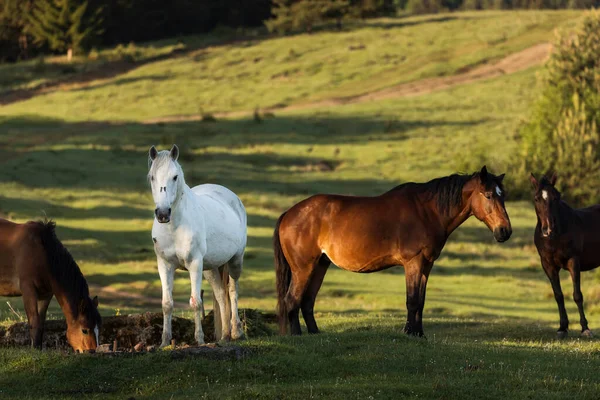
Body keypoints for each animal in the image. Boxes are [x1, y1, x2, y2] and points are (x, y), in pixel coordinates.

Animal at [0, 217, 101, 352]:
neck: (42, 254)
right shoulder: (28, 290)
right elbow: (34, 321)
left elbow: (41, 323)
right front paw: (34, 350)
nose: (92, 351)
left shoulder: (46, 295)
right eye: (84, 330)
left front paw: (38, 347)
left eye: (98, 328)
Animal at [148, 145, 246, 346]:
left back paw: (236, 332)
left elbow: (196, 302)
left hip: (235, 261)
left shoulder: (194, 264)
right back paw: (224, 336)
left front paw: (199, 340)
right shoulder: (165, 265)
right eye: (152, 176)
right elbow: (167, 304)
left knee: (232, 291)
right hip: (210, 268)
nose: (163, 213)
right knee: (220, 295)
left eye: (175, 176)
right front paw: (164, 342)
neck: (174, 227)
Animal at [274, 166, 512, 338]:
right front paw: (409, 333)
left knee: (307, 301)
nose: (505, 231)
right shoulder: (413, 262)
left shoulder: (427, 265)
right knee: (292, 300)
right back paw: (296, 336)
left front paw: (419, 334)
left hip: (320, 265)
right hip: (303, 268)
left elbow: (421, 301)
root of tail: (289, 213)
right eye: (488, 195)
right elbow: (412, 300)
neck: (427, 212)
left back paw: (314, 334)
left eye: (503, 196)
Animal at [532, 173, 596, 340]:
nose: (548, 229)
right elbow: (558, 295)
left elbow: (577, 295)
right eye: (536, 198)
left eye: (556, 197)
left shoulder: (574, 262)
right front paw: (562, 328)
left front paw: (585, 328)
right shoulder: (548, 265)